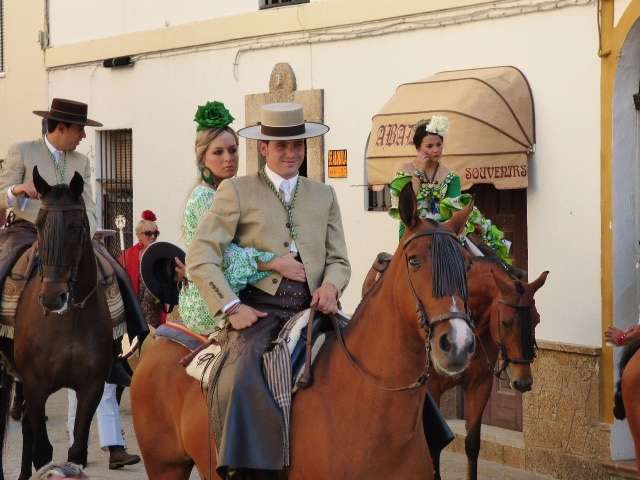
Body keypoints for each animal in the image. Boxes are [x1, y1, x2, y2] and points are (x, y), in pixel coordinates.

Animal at [0, 167, 113, 480]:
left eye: (76, 227)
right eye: (39, 224)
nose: (52, 297)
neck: (68, 322)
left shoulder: (91, 387)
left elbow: (76, 452)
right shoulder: (36, 386)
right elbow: (44, 452)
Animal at [427, 257, 548, 480]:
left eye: (537, 319)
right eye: (505, 322)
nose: (523, 381)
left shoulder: (480, 384)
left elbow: (472, 444)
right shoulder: (432, 389)